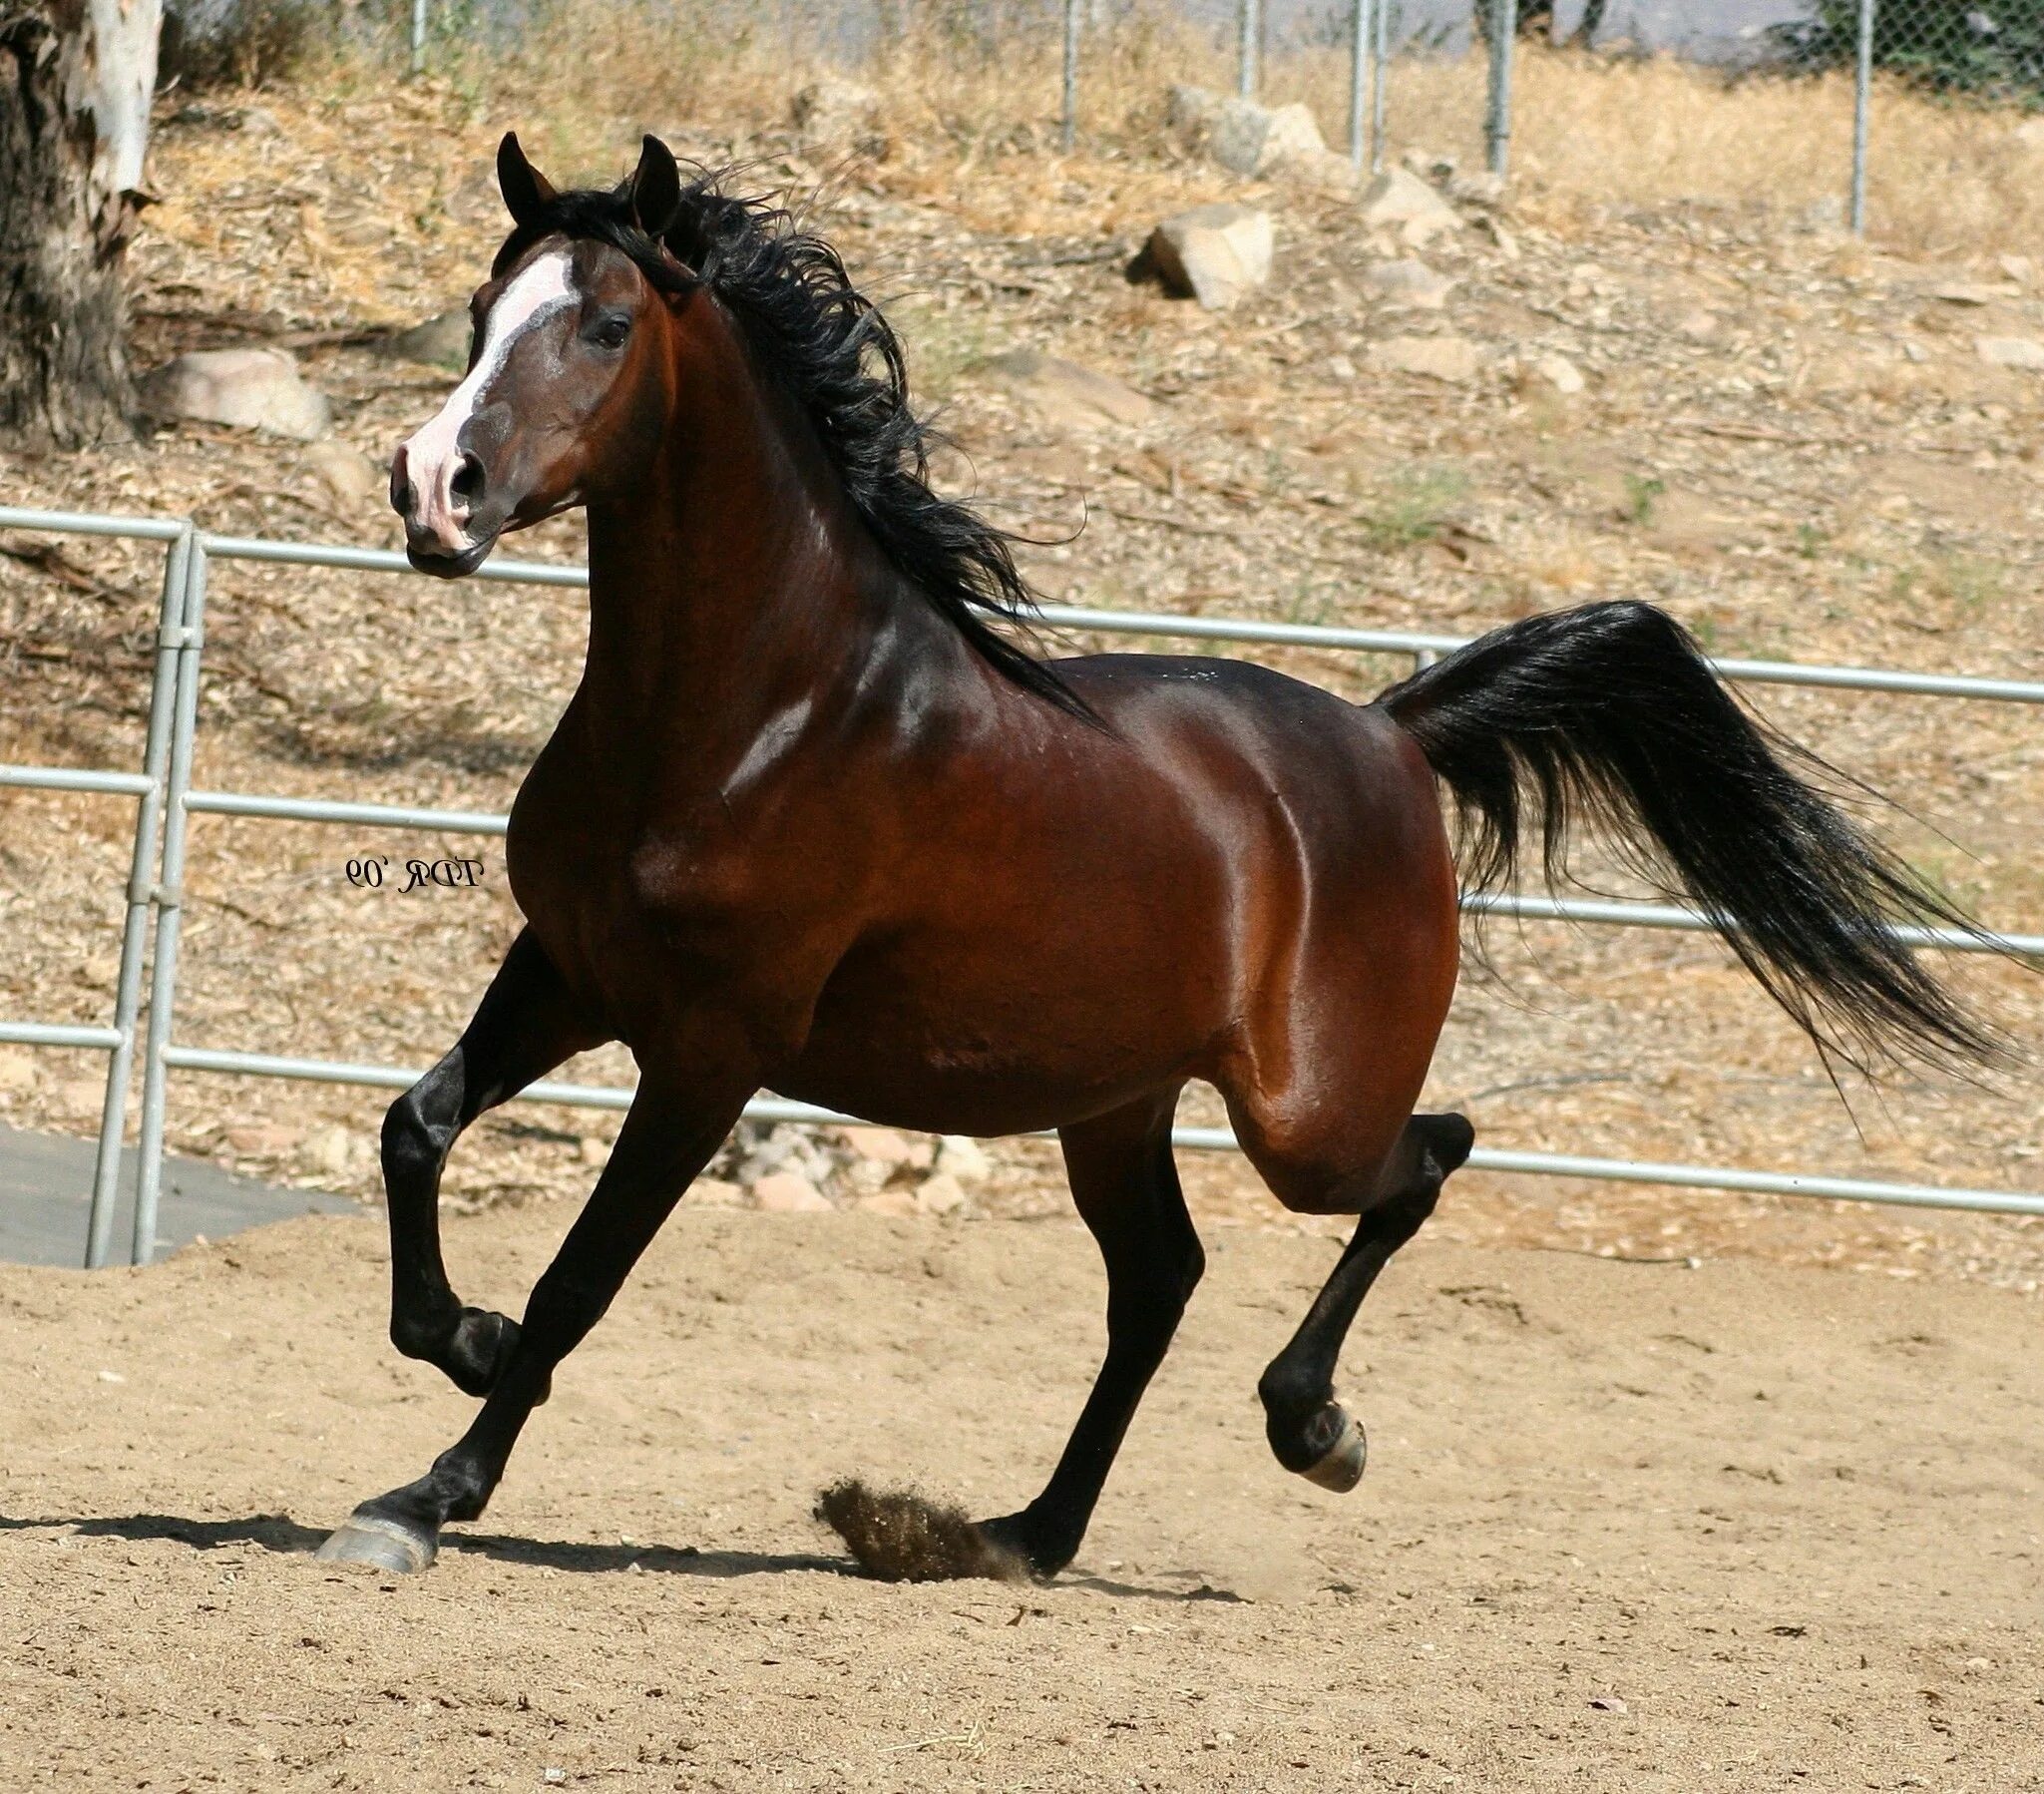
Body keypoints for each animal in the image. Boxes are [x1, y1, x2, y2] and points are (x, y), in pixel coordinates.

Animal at [318, 134, 1994, 1576]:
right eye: (482, 308)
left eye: (603, 324)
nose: (434, 487)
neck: (754, 710)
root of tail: (1390, 735)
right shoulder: (569, 970)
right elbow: (414, 1128)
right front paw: (457, 1340)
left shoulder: (711, 1045)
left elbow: (580, 1274)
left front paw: (424, 1492)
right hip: (1111, 1092)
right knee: (1159, 1278)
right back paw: (1021, 1531)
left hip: (1303, 1116)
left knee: (1421, 1161)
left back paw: (1314, 1431)